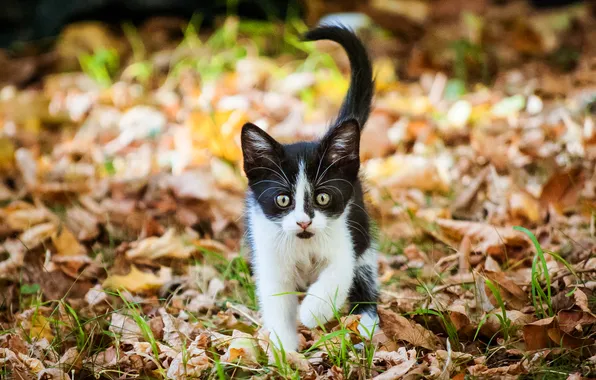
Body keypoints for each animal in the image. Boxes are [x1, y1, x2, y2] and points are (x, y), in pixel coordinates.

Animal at [241, 25, 378, 352]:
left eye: (323, 197)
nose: (304, 221)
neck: (303, 245)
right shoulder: (269, 255)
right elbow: (277, 301)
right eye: (282, 199)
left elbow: (338, 274)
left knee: (365, 271)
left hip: (361, 226)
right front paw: (285, 351)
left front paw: (313, 311)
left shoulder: (343, 238)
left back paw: (367, 320)